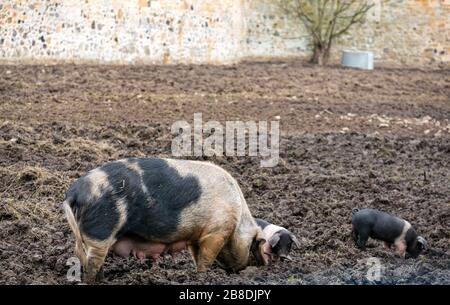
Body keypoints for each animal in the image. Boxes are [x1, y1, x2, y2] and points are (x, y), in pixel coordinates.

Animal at [62, 158, 268, 282]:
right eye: (252, 246)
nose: (241, 270)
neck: (238, 219)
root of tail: (74, 194)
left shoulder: (195, 236)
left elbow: (197, 256)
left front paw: (196, 273)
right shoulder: (216, 231)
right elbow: (206, 258)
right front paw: (202, 276)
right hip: (101, 231)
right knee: (91, 264)